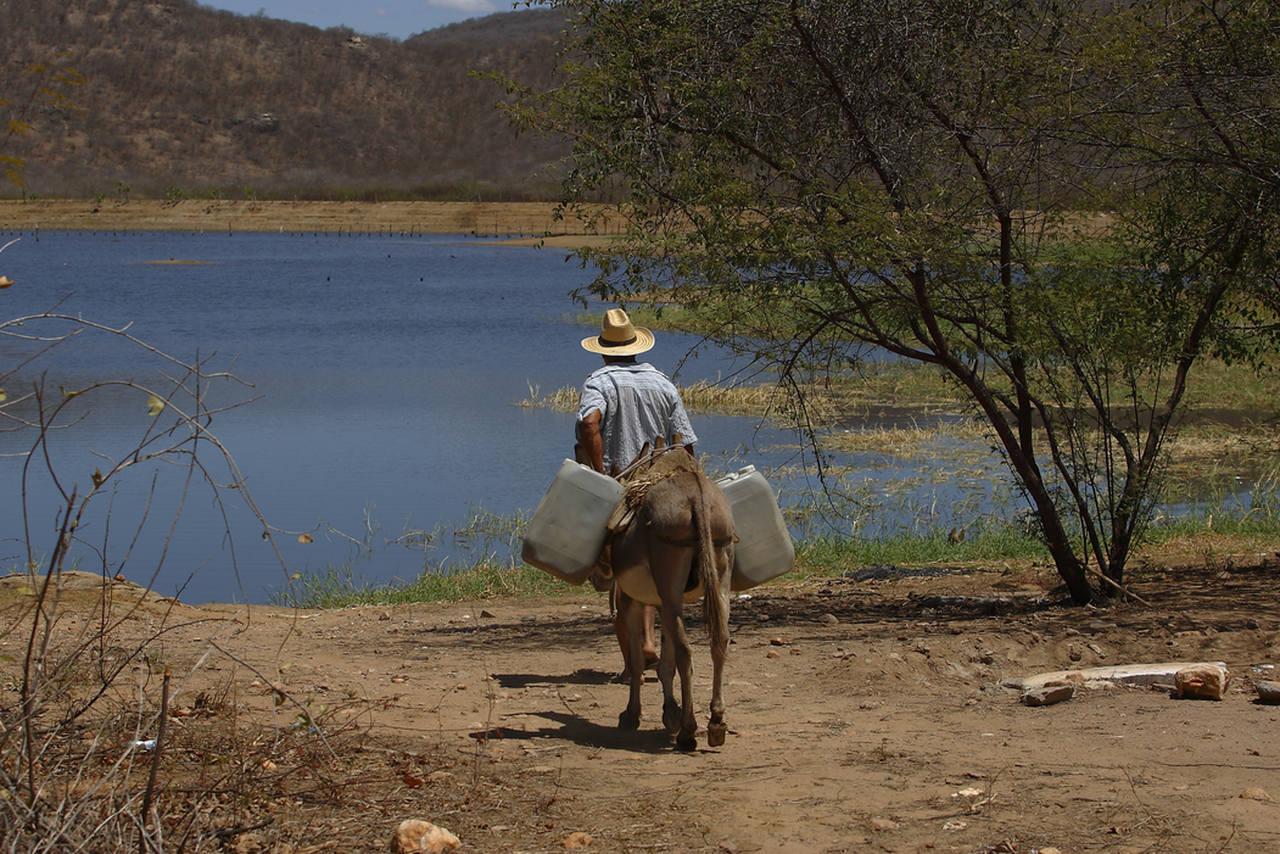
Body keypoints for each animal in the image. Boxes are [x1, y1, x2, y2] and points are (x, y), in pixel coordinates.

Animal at [608, 447, 735, 751]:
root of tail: (696, 495)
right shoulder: (661, 603)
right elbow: (665, 664)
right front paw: (670, 713)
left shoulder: (633, 601)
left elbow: (639, 660)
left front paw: (632, 715)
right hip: (720, 576)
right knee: (720, 641)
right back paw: (716, 723)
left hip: (671, 586)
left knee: (685, 652)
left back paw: (688, 732)